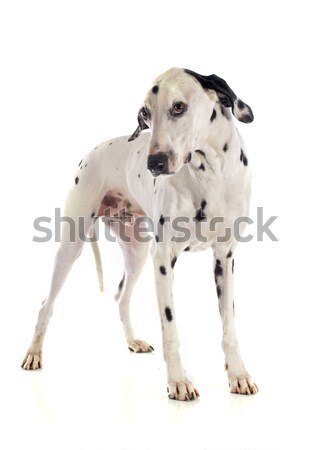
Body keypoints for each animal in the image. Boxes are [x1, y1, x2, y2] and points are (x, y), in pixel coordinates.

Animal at [22, 67, 258, 400]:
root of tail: (92, 151)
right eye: (145, 114)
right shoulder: (164, 260)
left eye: (178, 107)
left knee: (121, 296)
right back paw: (34, 353)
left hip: (137, 254)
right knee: (46, 304)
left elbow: (229, 328)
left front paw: (238, 375)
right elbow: (170, 327)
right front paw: (178, 381)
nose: (154, 163)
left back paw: (133, 341)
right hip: (71, 247)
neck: (209, 175)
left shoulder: (224, 259)